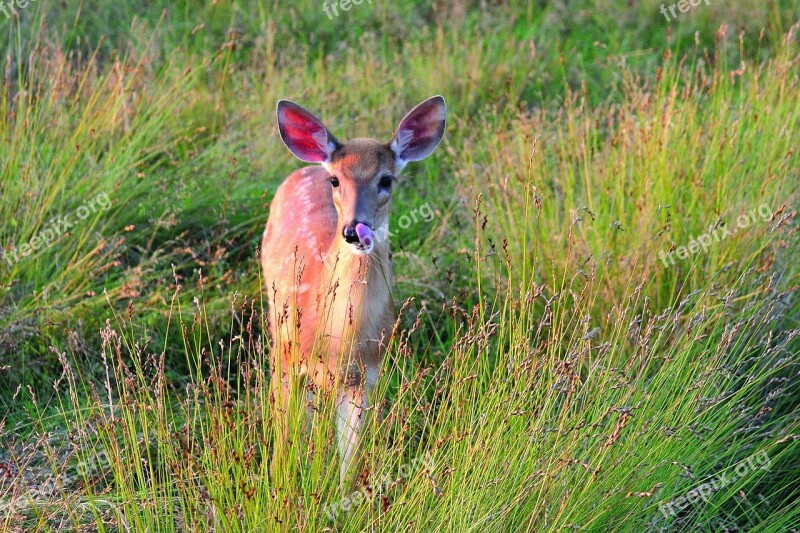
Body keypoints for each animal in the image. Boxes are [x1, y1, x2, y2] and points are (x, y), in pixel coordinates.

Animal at [264, 94, 446, 486]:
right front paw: (279, 484)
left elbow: (352, 458)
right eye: (335, 179)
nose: (352, 230)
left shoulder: (367, 375)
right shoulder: (287, 354)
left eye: (387, 180)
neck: (340, 340)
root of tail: (306, 168)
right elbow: (284, 439)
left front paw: (344, 494)